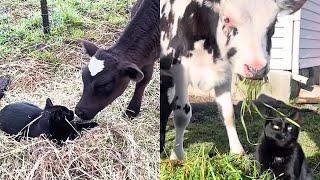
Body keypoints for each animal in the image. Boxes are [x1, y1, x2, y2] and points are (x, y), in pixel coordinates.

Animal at [161, 0, 306, 160]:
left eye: (274, 22)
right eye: (227, 19)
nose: (256, 68)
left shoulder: (224, 74)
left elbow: (228, 113)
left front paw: (237, 150)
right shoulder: (179, 71)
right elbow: (182, 114)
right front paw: (177, 155)